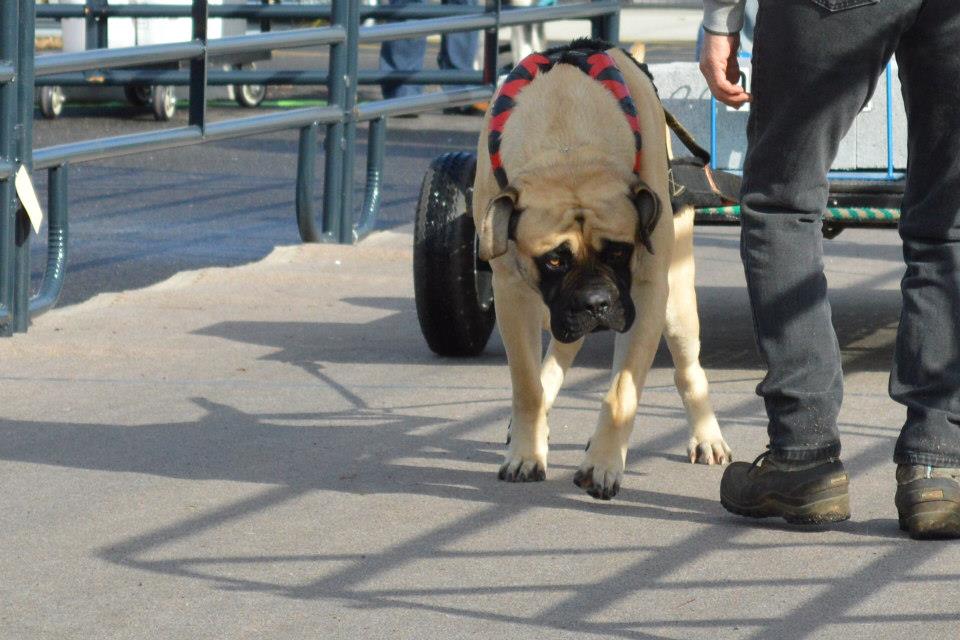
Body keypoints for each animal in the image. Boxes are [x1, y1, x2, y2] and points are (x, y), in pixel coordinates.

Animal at [474, 40, 736, 500]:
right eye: (554, 260)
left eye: (618, 252)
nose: (597, 303)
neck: (568, 152)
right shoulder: (512, 292)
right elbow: (526, 383)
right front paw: (527, 450)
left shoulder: (647, 292)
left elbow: (622, 390)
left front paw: (603, 463)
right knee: (560, 351)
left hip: (677, 305)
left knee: (689, 370)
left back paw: (706, 437)